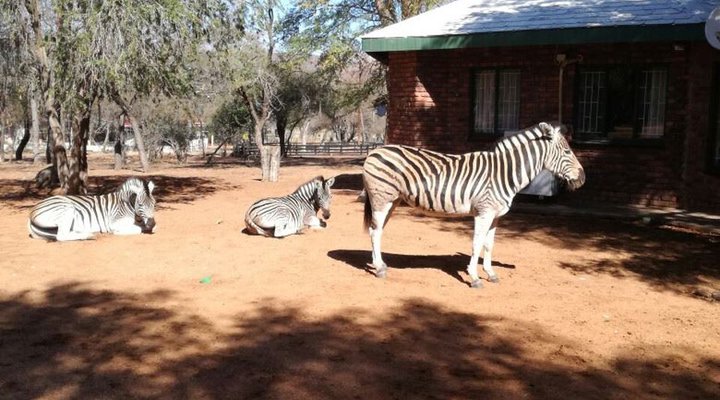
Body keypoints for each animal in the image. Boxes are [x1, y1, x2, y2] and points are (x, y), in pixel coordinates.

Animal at [28, 177, 157, 241]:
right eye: (140, 204)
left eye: (154, 203)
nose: (151, 223)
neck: (126, 203)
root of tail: (33, 211)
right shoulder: (115, 222)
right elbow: (138, 229)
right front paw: (119, 232)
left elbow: (147, 227)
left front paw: (148, 226)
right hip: (67, 209)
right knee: (61, 236)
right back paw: (89, 236)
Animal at [362, 122, 585, 288]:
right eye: (567, 151)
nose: (583, 179)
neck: (503, 172)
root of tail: (375, 150)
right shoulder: (483, 212)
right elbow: (477, 243)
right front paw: (475, 277)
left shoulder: (495, 215)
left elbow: (488, 244)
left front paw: (491, 273)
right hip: (382, 198)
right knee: (375, 231)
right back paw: (379, 268)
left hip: (391, 200)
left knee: (377, 231)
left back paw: (379, 264)